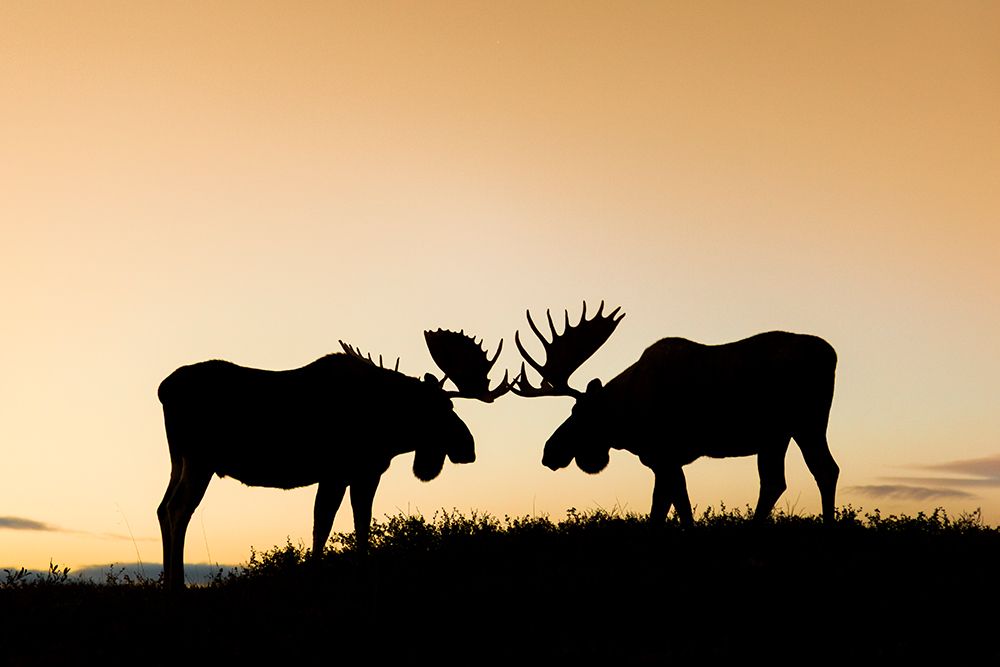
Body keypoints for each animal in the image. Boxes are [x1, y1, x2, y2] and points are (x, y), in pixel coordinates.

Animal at [157, 330, 509, 589]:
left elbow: (359, 524)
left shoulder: (365, 474)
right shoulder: (337, 473)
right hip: (200, 460)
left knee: (162, 508)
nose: (468, 446)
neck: (391, 426)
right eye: (445, 409)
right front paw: (317, 575)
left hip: (178, 460)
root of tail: (163, 389)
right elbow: (323, 525)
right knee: (178, 510)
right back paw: (177, 585)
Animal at [512, 302, 840, 525]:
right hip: (777, 436)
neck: (626, 417)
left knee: (823, 470)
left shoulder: (664, 456)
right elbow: (673, 508)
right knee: (777, 481)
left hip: (807, 423)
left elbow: (666, 510)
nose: (549, 451)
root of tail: (832, 354)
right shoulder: (666, 462)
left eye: (579, 412)